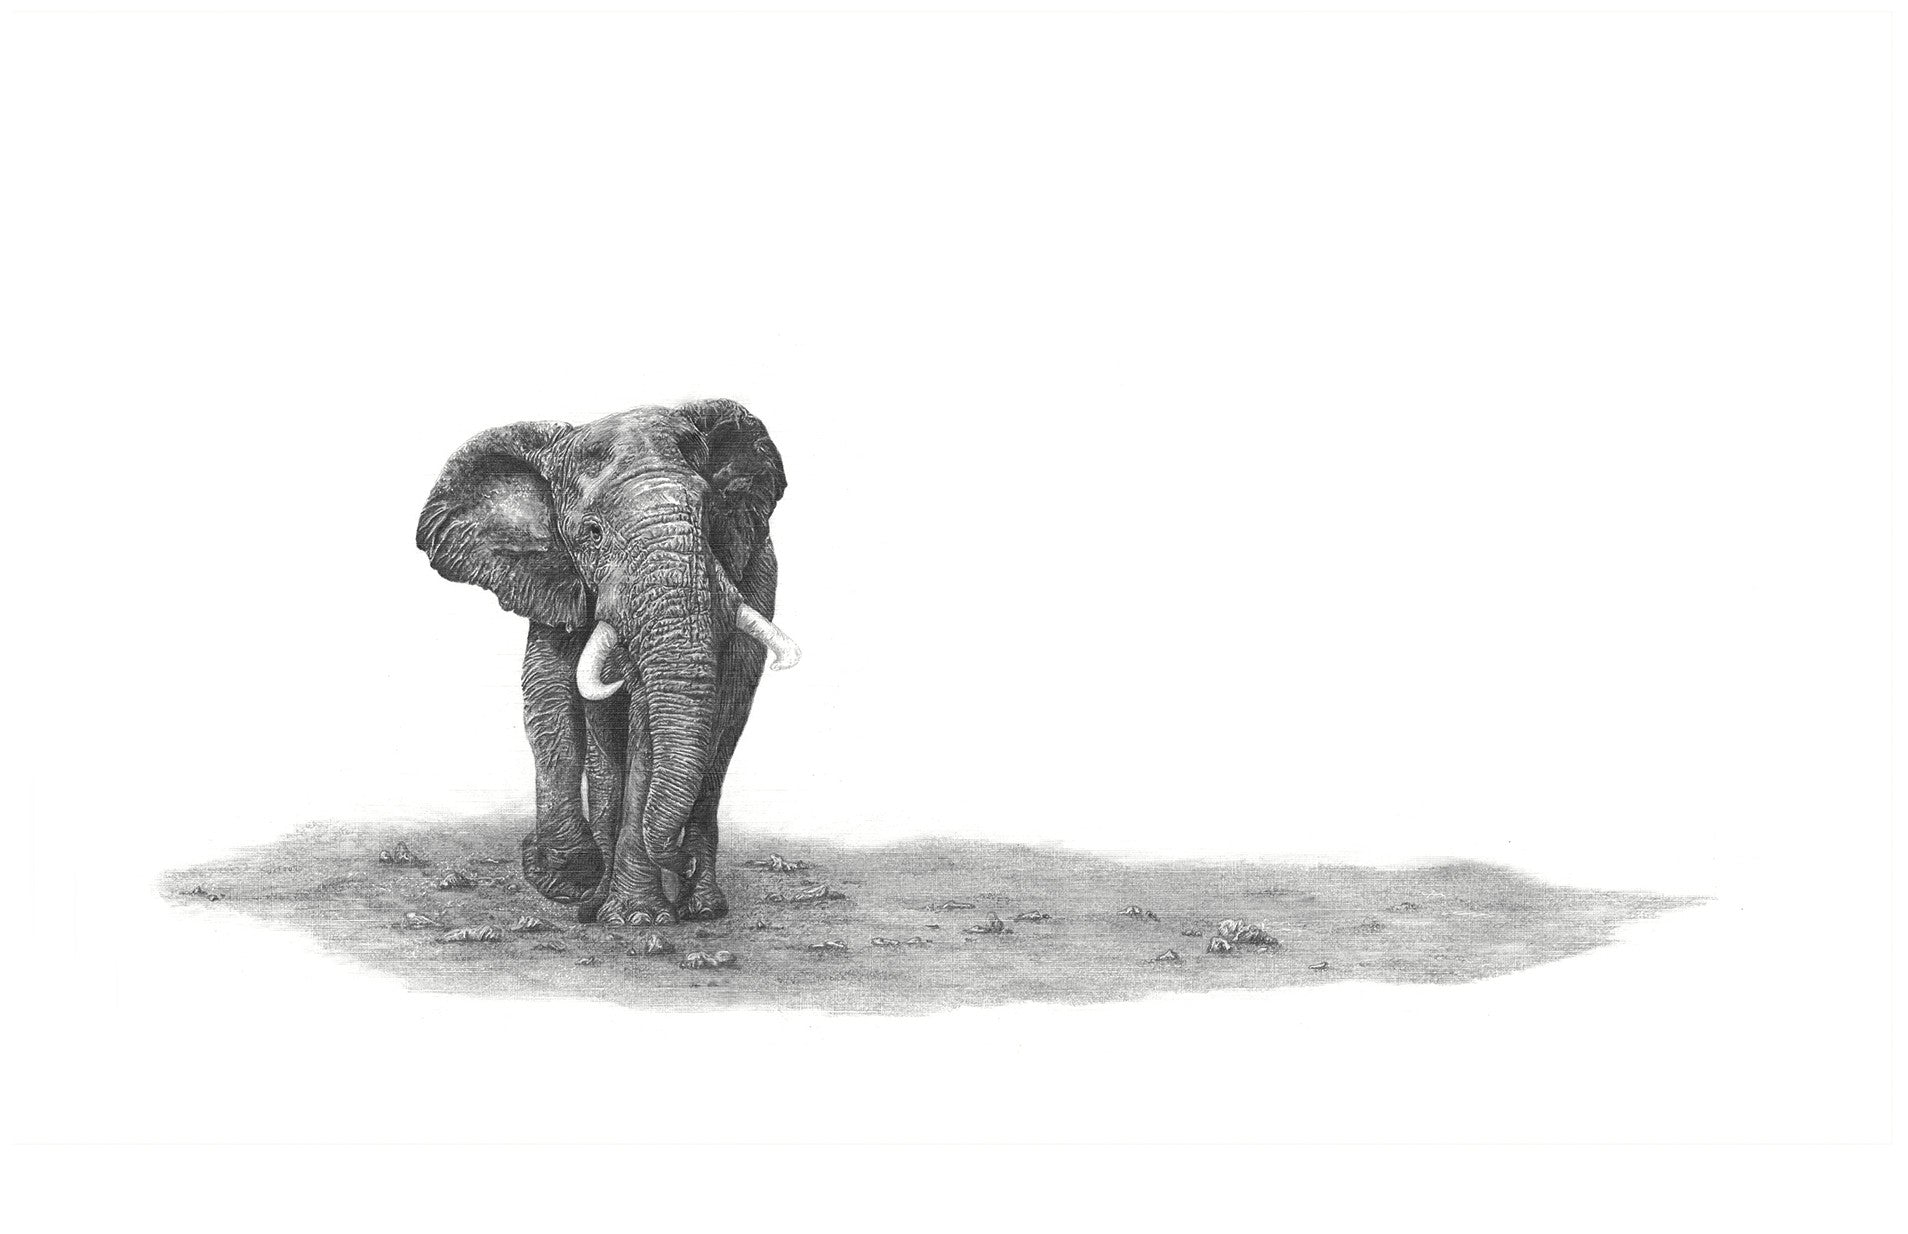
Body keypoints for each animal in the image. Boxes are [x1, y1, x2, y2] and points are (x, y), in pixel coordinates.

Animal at [416, 400, 798, 925]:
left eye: (710, 518)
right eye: (591, 534)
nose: (681, 862)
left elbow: (644, 728)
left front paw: (636, 918)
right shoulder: (552, 577)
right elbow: (549, 698)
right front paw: (570, 882)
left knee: (724, 731)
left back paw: (701, 906)